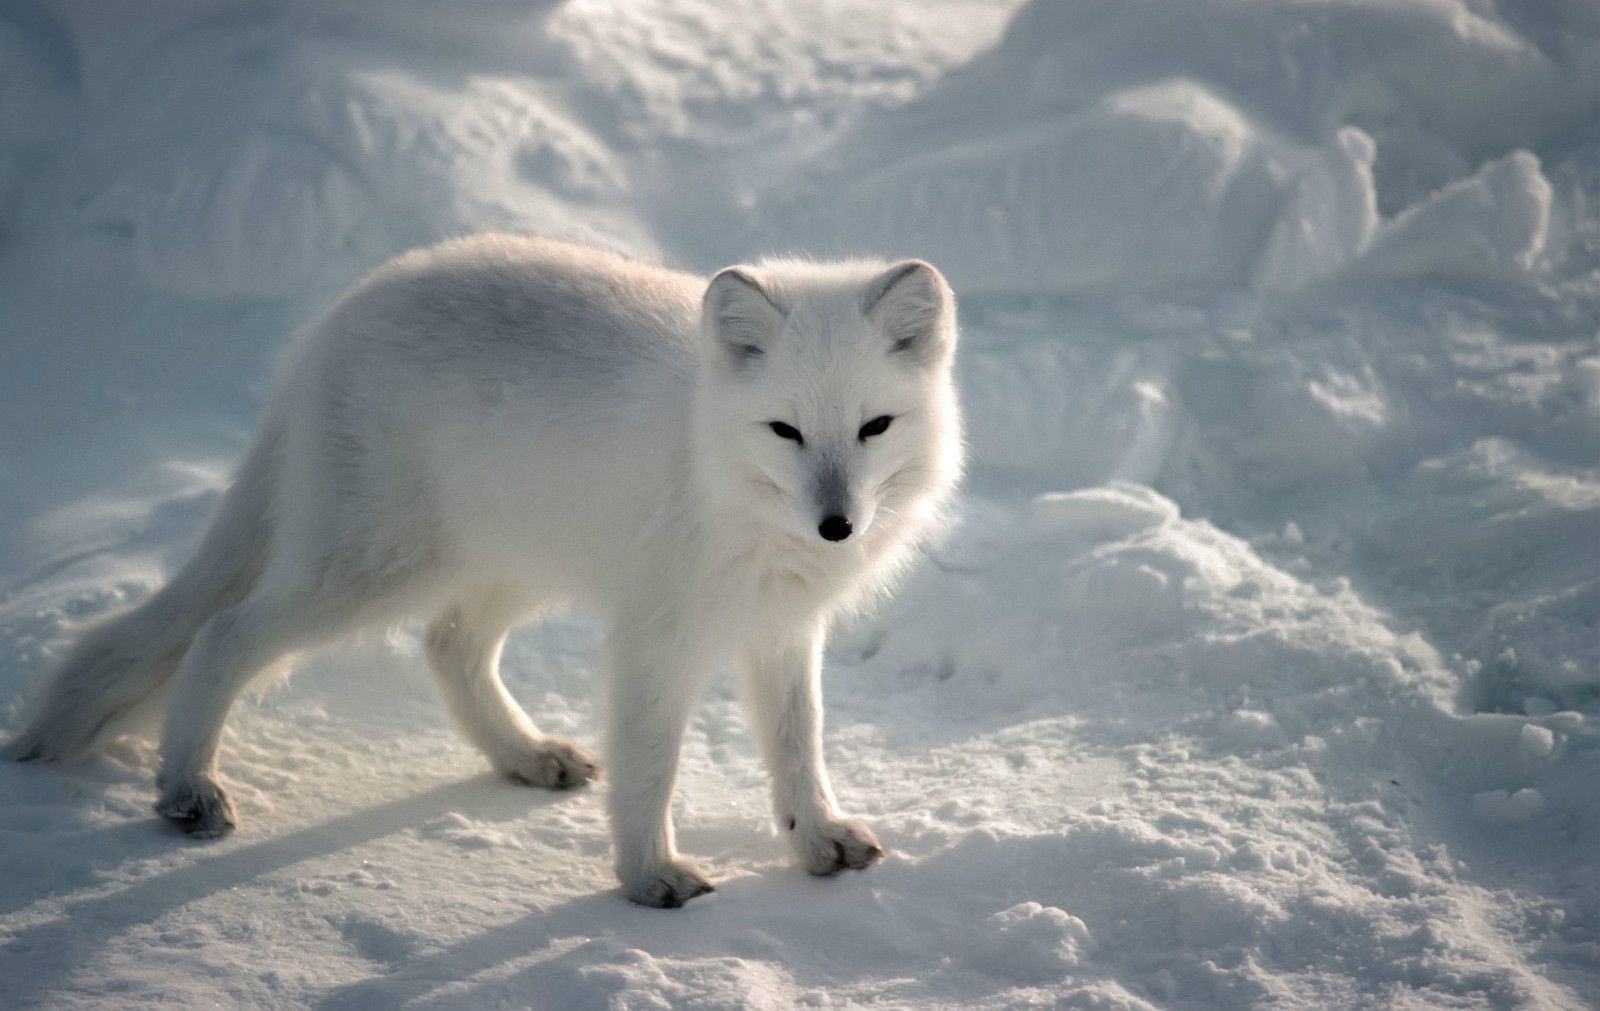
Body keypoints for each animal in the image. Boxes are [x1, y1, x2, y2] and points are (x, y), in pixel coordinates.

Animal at [4, 234, 963, 907]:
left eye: (874, 426)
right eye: (785, 430)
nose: (837, 527)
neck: (715, 467)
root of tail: (328, 329)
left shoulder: (780, 629)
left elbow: (800, 746)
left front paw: (817, 840)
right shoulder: (657, 636)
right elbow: (652, 764)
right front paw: (648, 876)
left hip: (504, 565)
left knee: (448, 646)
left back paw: (527, 755)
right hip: (369, 569)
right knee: (222, 631)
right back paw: (187, 788)